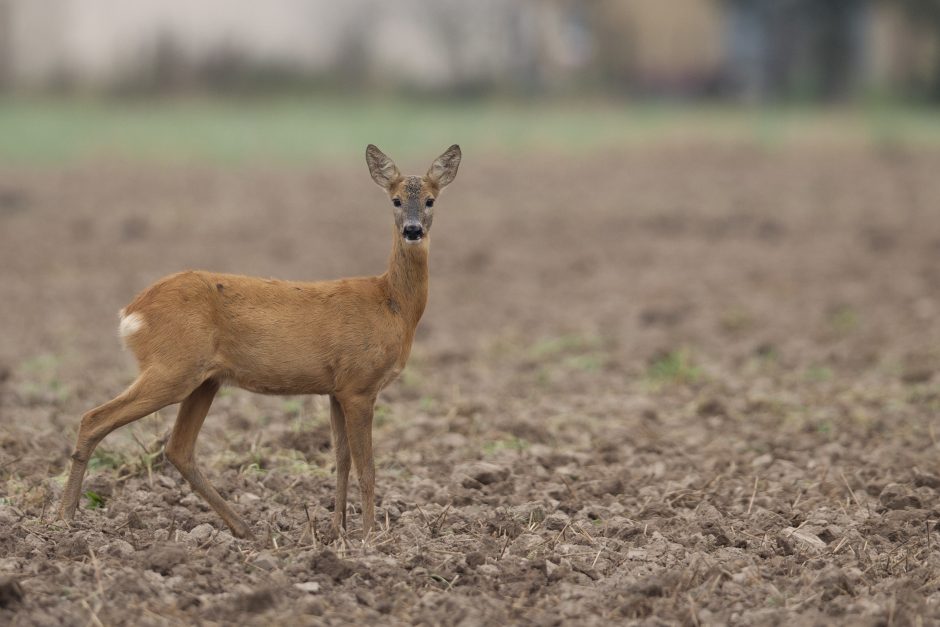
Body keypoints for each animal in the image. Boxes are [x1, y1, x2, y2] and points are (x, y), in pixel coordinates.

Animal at [57, 145, 460, 536]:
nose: (412, 230)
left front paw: (336, 531)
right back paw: (65, 517)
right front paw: (371, 537)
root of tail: (132, 311)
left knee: (178, 448)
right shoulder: (360, 385)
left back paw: (245, 528)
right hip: (172, 368)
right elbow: (368, 466)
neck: (392, 304)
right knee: (93, 418)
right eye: (395, 199)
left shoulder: (337, 388)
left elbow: (341, 459)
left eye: (430, 200)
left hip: (204, 380)